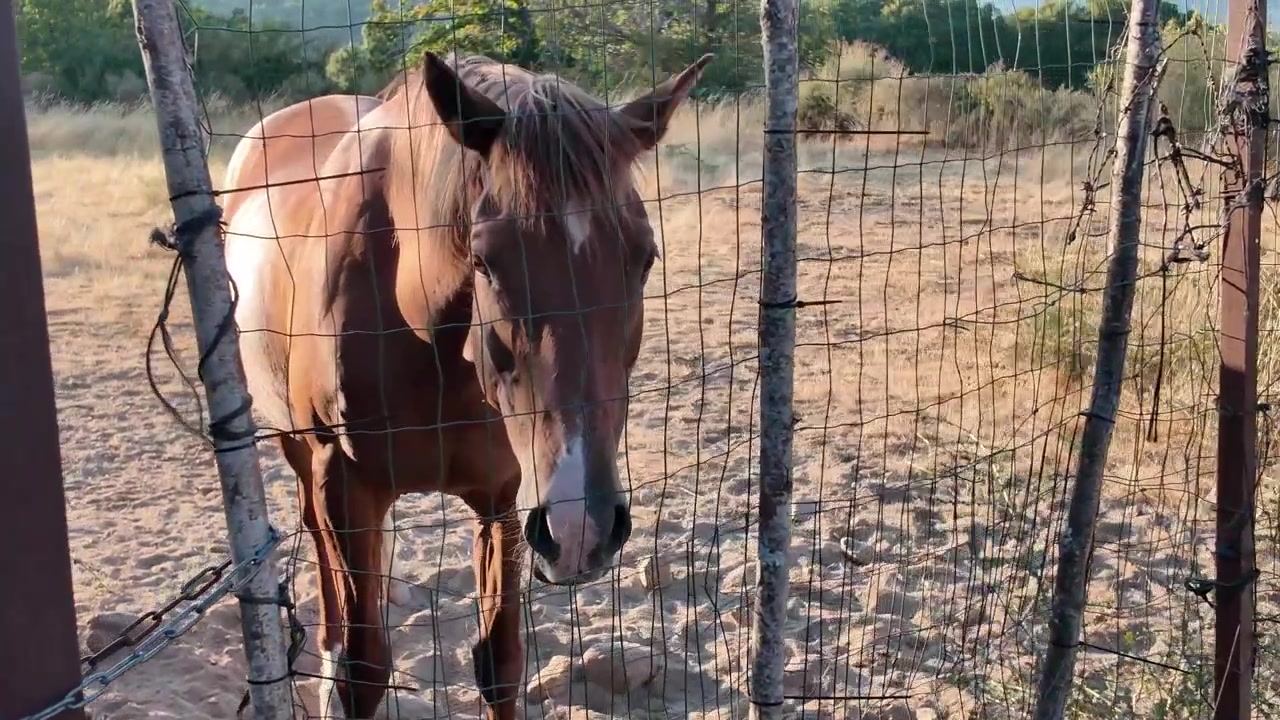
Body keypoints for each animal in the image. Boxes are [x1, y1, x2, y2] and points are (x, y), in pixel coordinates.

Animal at [218, 51, 712, 719]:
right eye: (485, 261)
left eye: (645, 258)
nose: (582, 526)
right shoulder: (347, 488)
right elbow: (363, 674)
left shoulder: (505, 496)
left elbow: (501, 664)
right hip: (298, 448)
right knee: (317, 542)